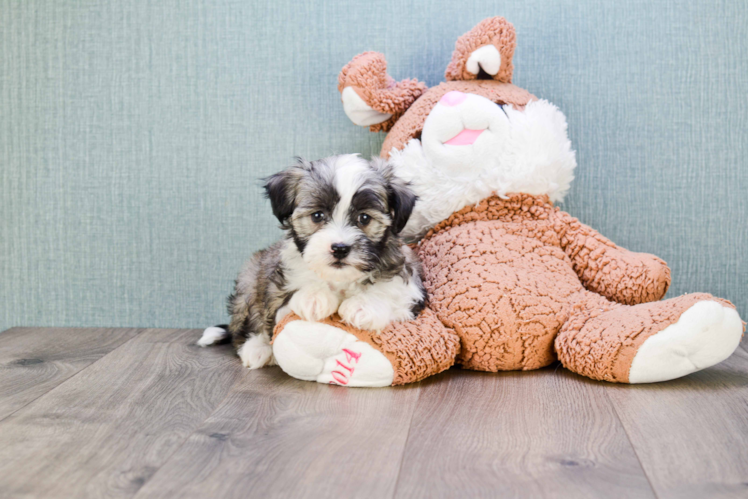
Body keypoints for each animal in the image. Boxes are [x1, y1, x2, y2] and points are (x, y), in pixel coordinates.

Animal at [196, 154, 426, 370]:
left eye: (364, 218)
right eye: (317, 215)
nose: (340, 248)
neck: (340, 279)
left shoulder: (411, 293)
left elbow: (391, 289)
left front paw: (364, 305)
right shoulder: (278, 297)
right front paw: (314, 297)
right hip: (249, 280)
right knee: (245, 324)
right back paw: (256, 348)